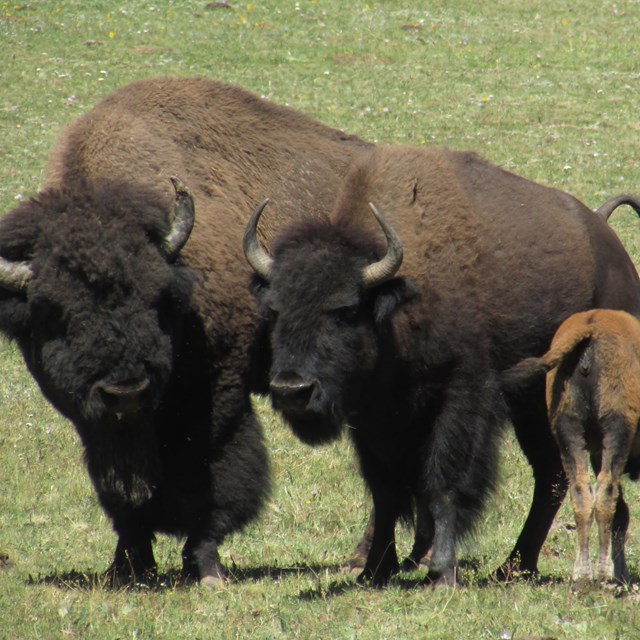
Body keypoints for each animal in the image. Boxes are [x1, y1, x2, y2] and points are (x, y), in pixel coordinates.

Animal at [0, 76, 370, 584]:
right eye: (54, 312)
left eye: (156, 297)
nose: (127, 390)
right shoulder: (97, 423)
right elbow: (120, 490)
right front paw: (128, 565)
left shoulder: (219, 390)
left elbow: (211, 474)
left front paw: (206, 566)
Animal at [504, 308, 640, 584]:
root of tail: (591, 328)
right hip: (616, 430)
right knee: (605, 495)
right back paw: (601, 575)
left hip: (568, 431)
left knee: (583, 494)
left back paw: (582, 575)